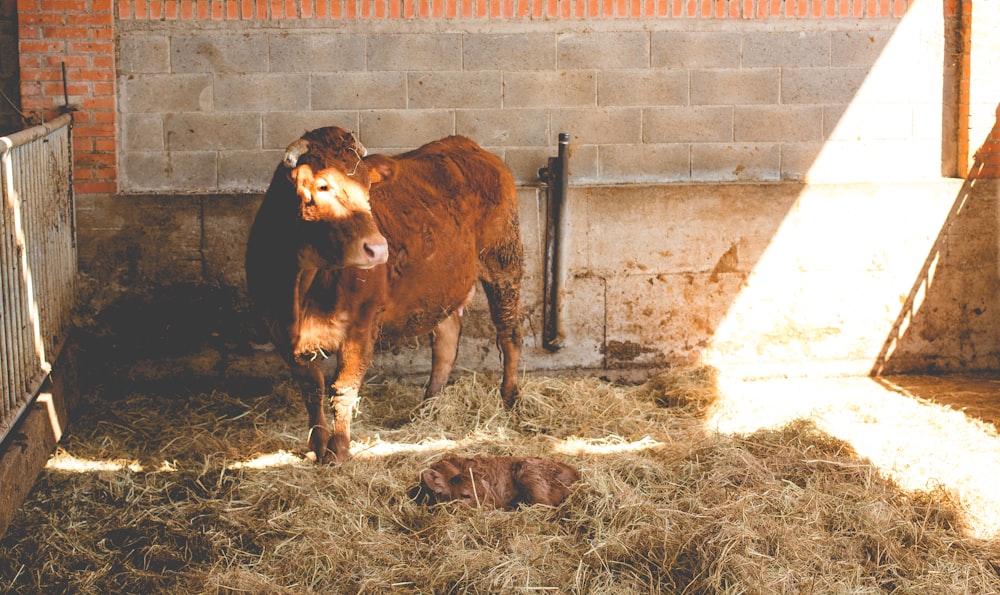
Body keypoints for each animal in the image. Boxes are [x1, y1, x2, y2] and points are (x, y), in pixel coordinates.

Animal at [246, 128, 524, 466]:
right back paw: (428, 406)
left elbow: (343, 389)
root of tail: (466, 144)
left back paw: (509, 398)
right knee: (446, 341)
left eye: (368, 189)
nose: (378, 248)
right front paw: (317, 445)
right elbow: (312, 389)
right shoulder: (279, 330)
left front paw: (339, 449)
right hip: (440, 287)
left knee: (509, 334)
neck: (301, 284)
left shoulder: (362, 324)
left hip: (504, 262)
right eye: (322, 185)